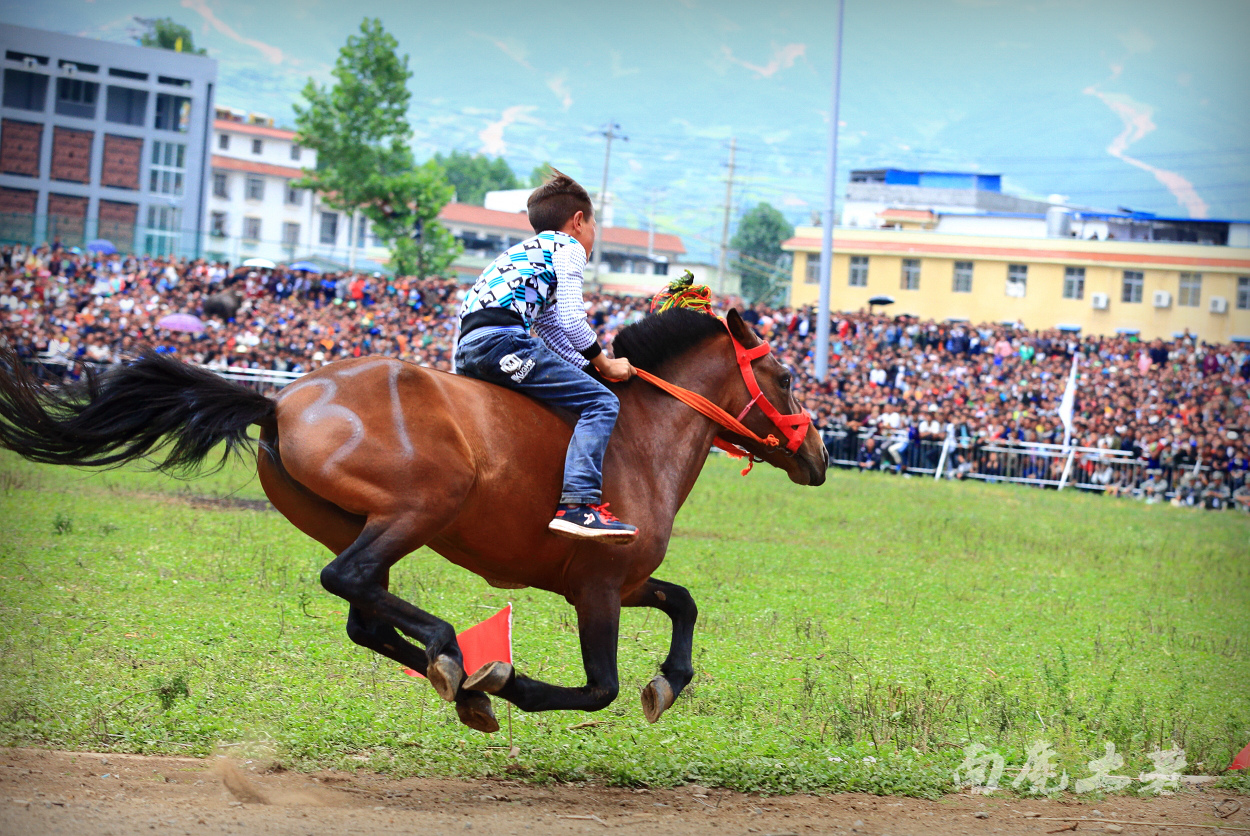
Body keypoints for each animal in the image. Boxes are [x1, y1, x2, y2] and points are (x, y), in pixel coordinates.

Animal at [0, 306, 830, 729]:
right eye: (788, 374)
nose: (821, 455)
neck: (637, 434)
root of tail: (281, 398)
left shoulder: (624, 581)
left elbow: (683, 605)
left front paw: (670, 682)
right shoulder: (598, 586)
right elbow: (600, 686)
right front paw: (511, 682)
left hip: (358, 520)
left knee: (361, 609)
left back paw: (453, 672)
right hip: (422, 508)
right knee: (349, 582)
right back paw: (455, 657)